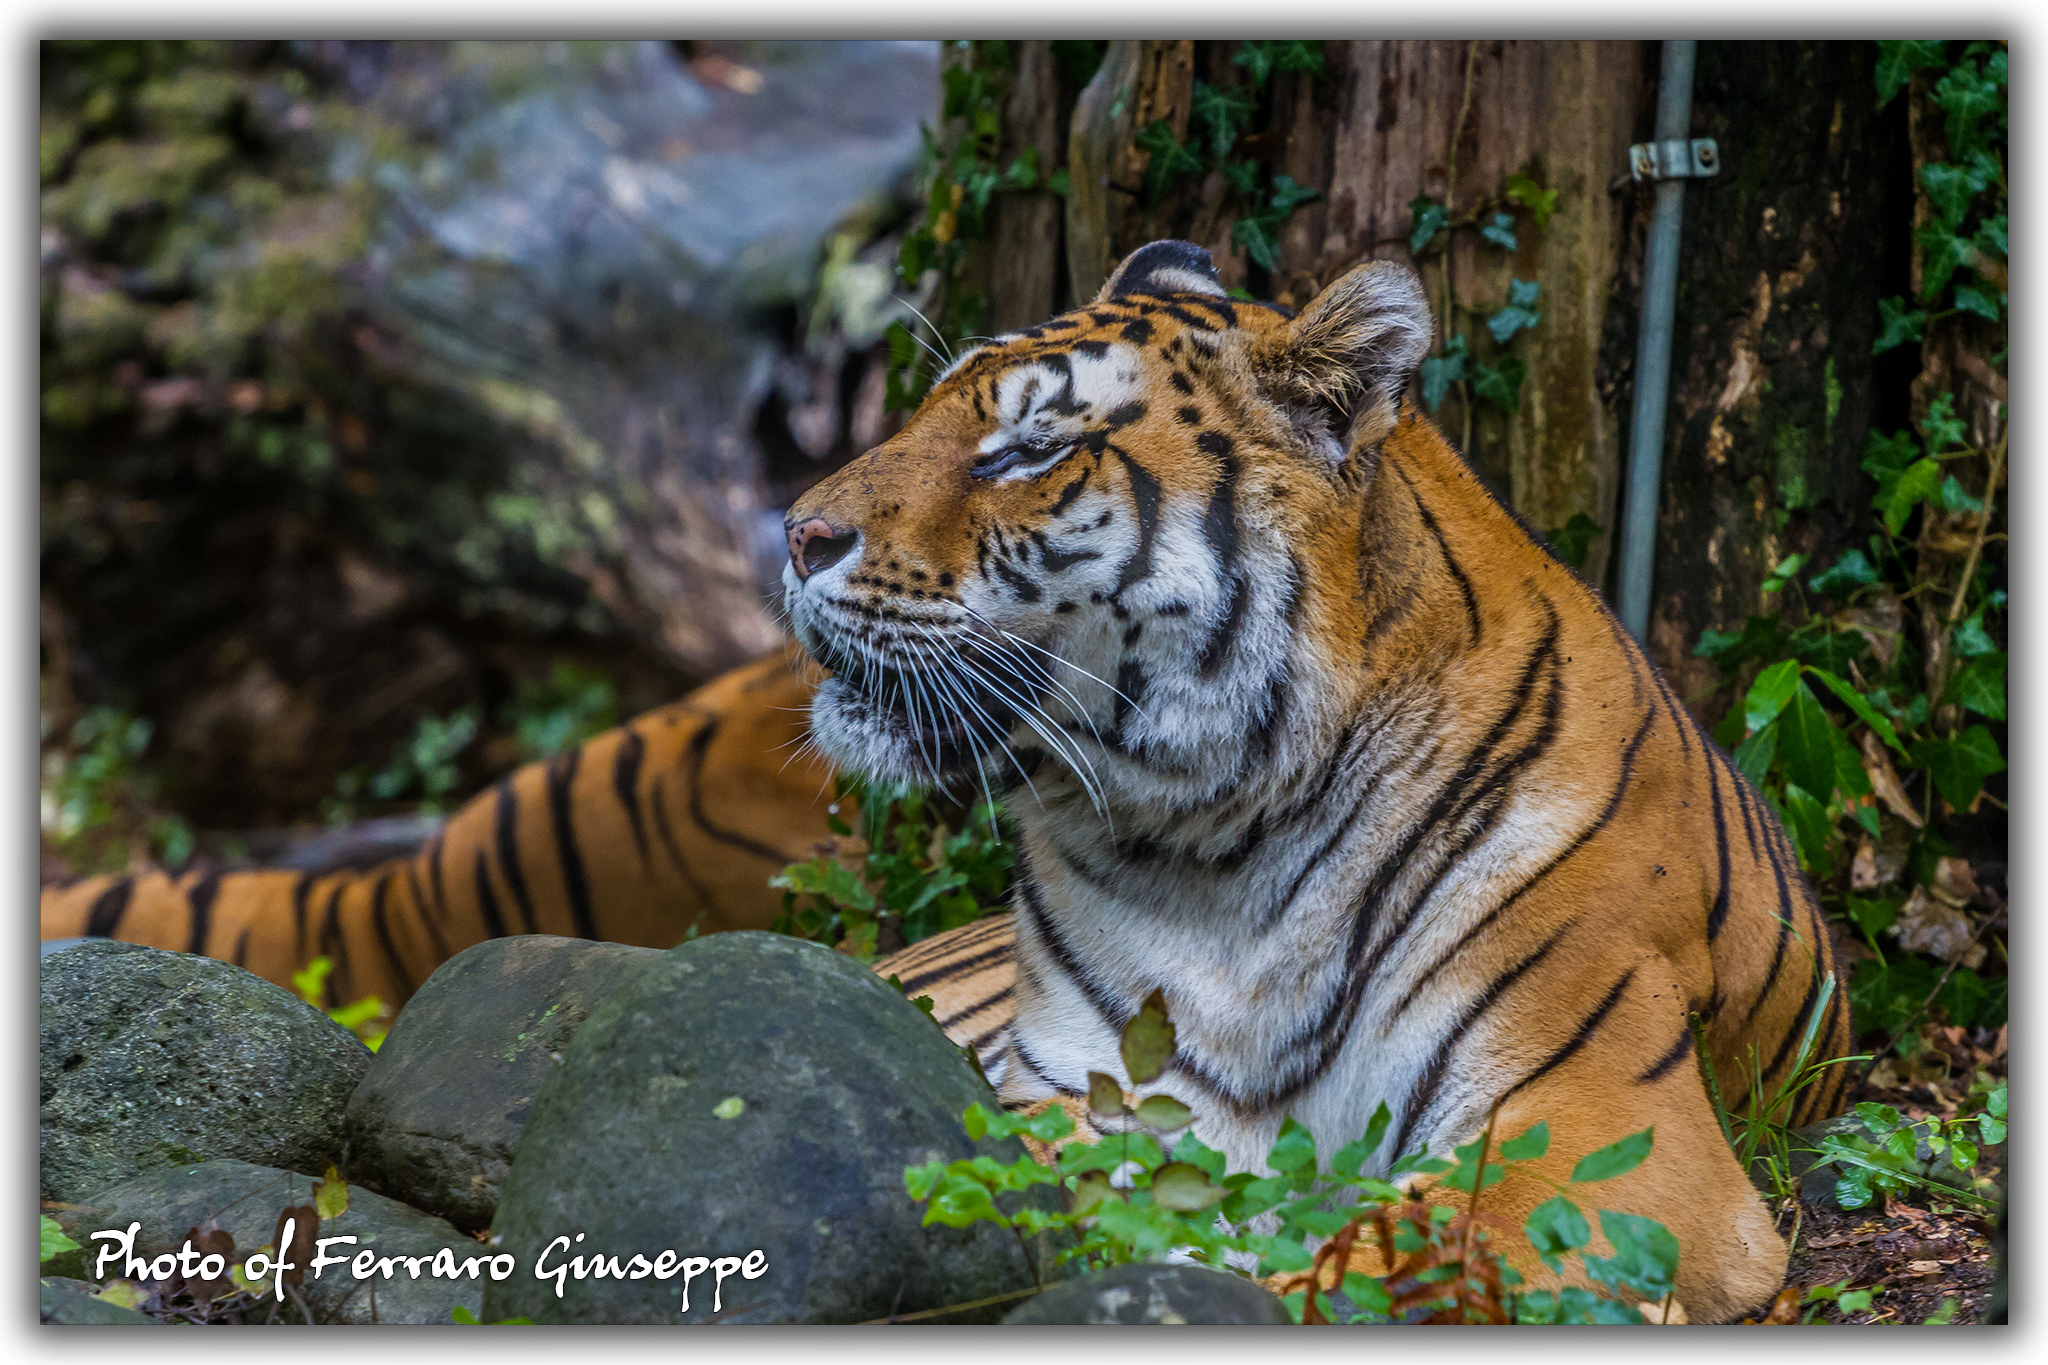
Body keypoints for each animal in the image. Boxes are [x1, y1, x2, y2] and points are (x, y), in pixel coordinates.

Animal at [788, 240, 1850, 1322]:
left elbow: (1408, 1257)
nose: (795, 535)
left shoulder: (1598, 1123)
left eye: (1031, 450)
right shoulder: (1075, 1091)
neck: (1213, 852)